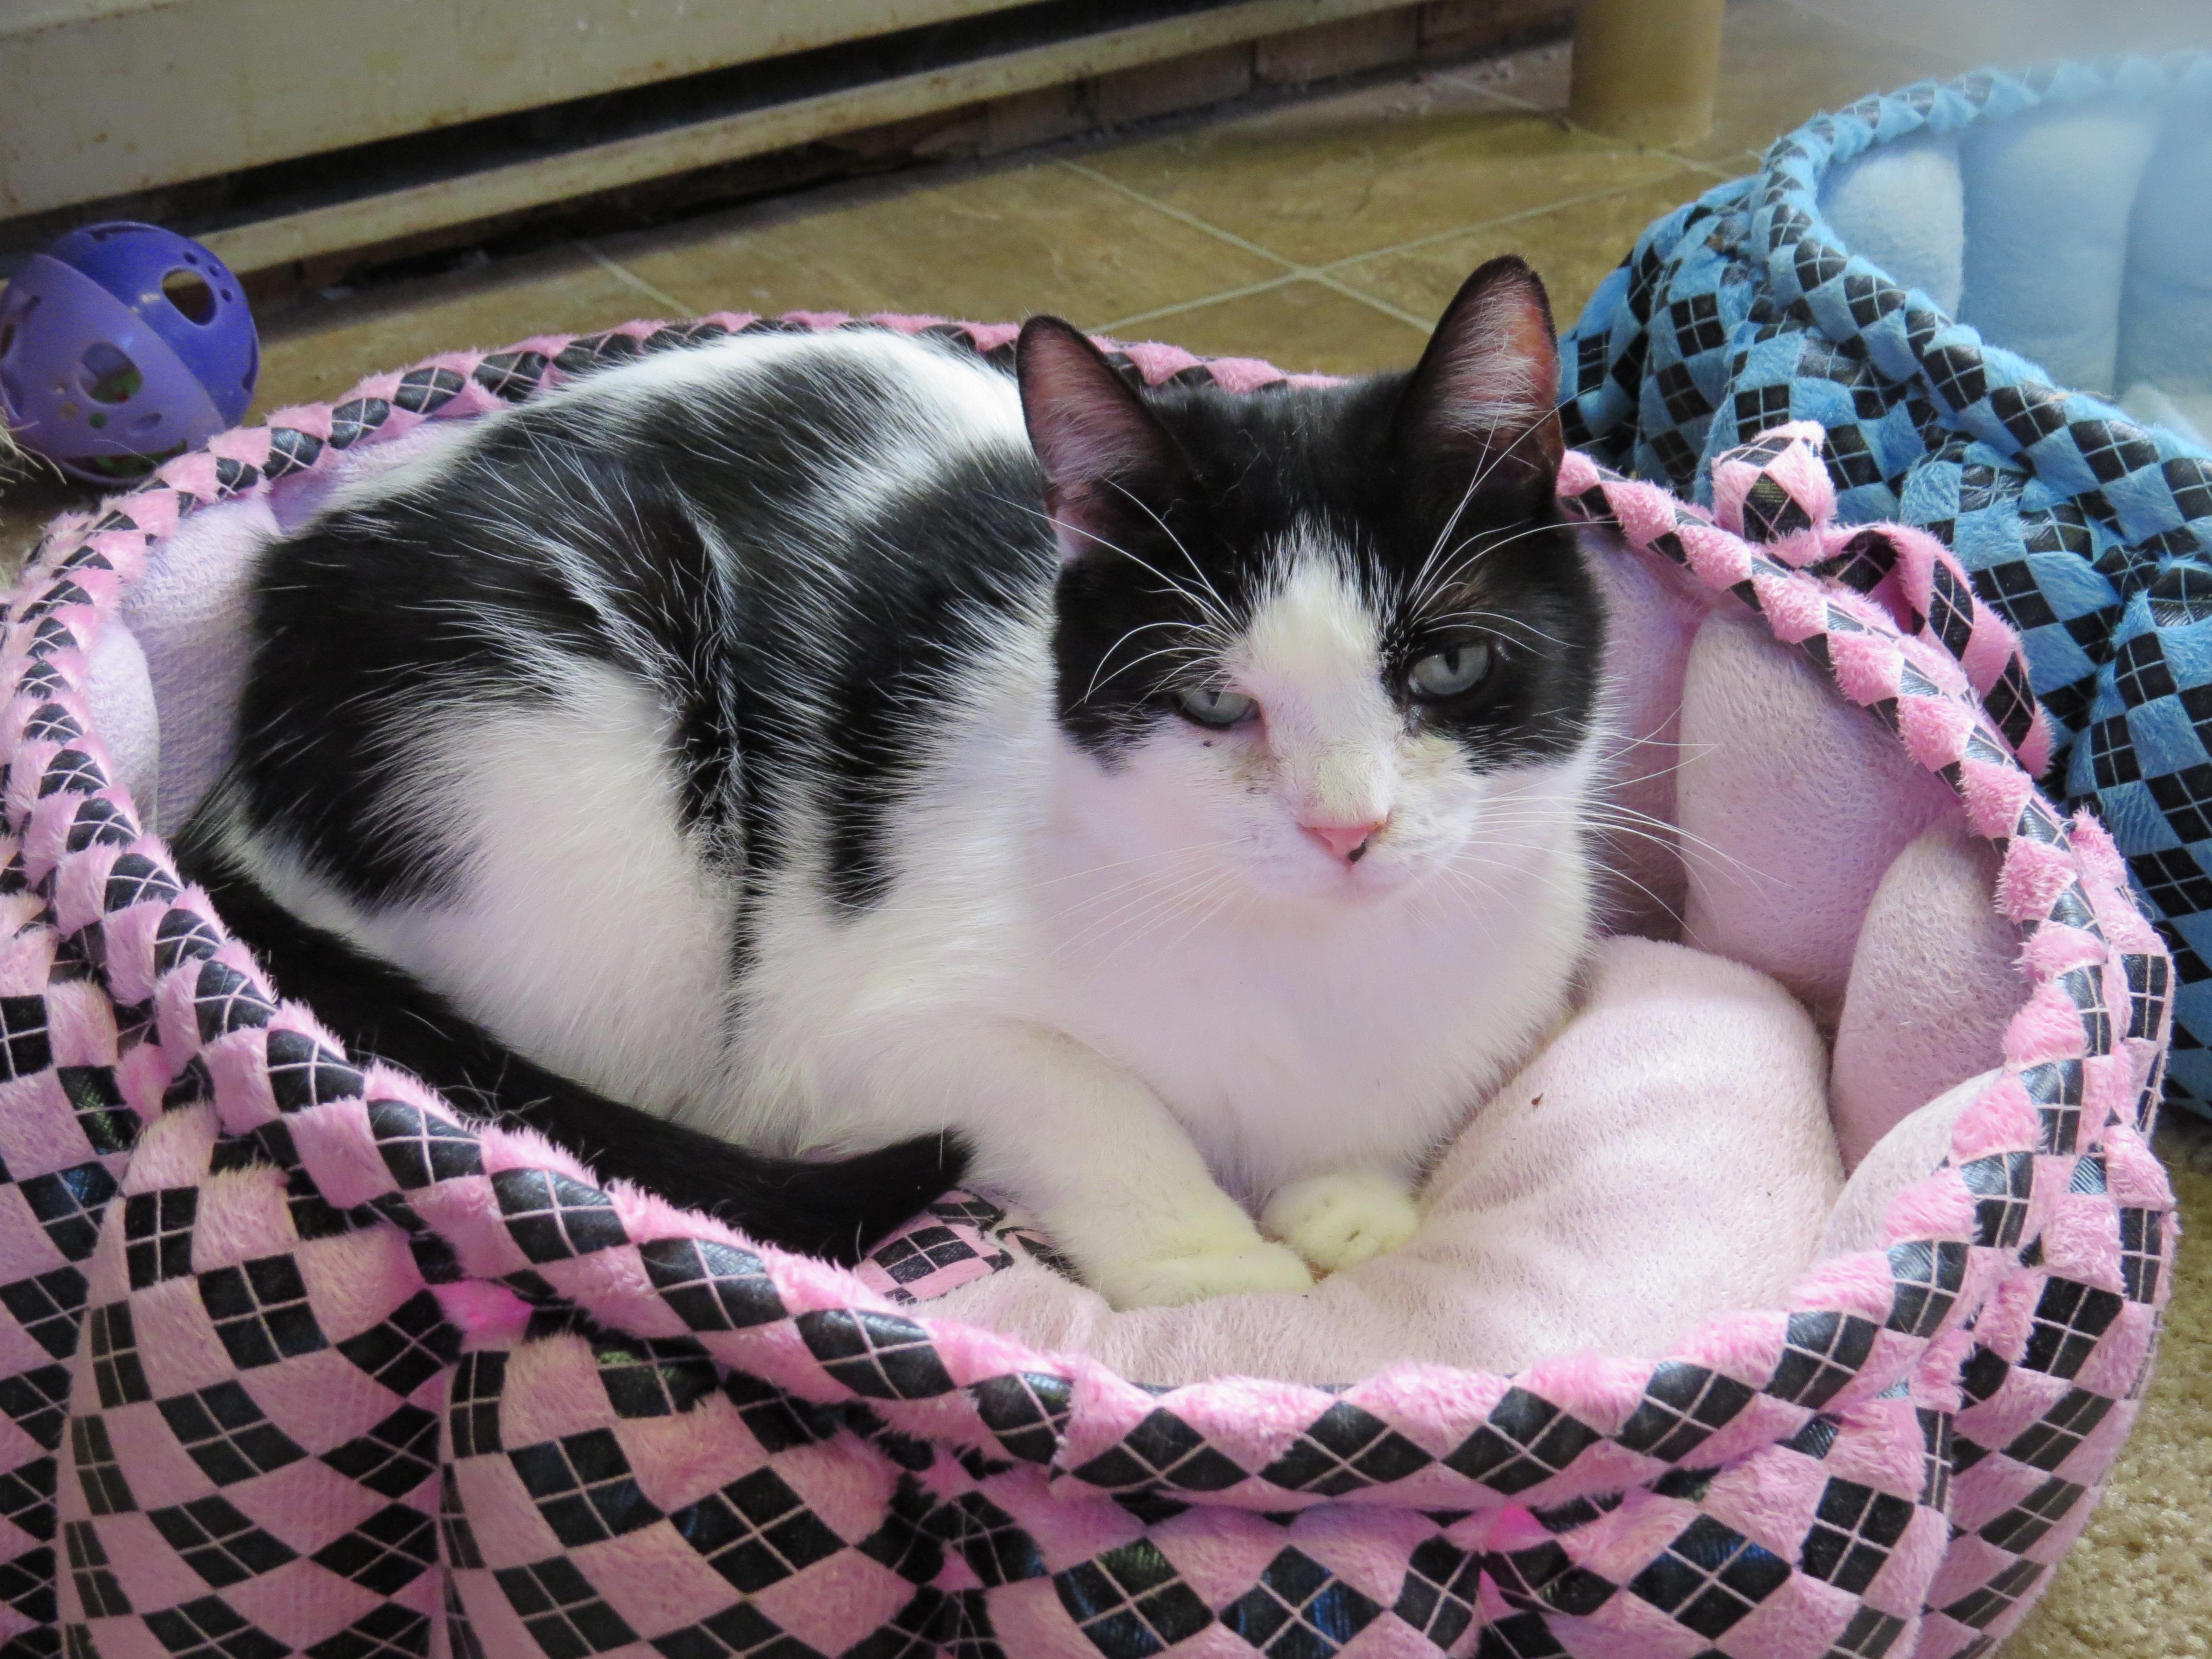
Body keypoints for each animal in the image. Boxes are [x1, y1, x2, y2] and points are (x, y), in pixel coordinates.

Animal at [181, 257, 1610, 1310]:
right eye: (1212, 699)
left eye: (1449, 664)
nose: (1346, 828)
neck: (1317, 971)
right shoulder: (852, 1031)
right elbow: (1077, 1091)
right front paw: (1202, 1255)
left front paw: (1353, 1200)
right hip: (582, 797)